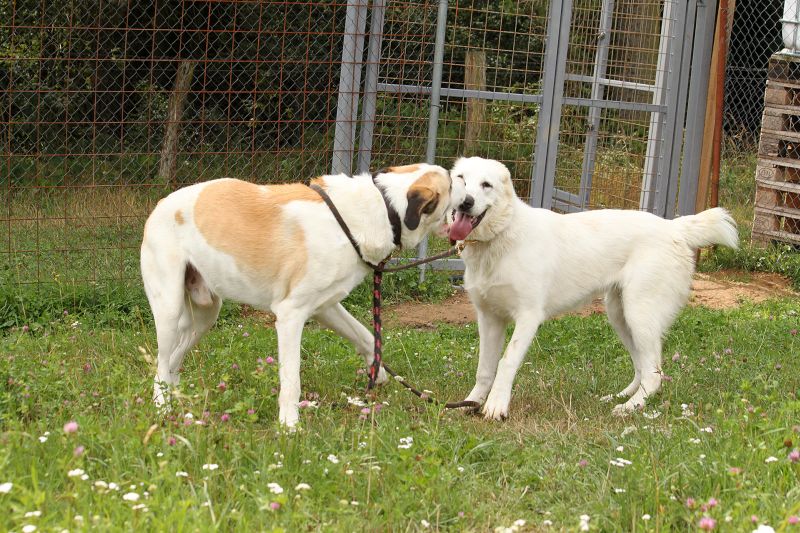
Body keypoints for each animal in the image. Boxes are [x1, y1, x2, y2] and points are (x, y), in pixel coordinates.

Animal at [141, 164, 466, 426]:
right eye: (453, 182)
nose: (467, 183)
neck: (383, 209)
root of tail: (160, 204)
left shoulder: (326, 307)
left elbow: (366, 336)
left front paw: (378, 373)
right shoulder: (290, 315)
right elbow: (291, 379)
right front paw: (289, 425)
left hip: (205, 315)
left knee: (171, 362)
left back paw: (178, 398)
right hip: (169, 311)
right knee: (161, 364)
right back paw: (162, 408)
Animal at [447, 157, 739, 420]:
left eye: (486, 184)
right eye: (461, 179)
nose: (466, 202)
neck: (502, 236)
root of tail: (673, 227)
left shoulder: (528, 317)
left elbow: (506, 362)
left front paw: (496, 407)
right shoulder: (489, 319)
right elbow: (484, 369)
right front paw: (471, 403)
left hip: (639, 315)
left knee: (654, 372)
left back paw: (629, 407)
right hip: (620, 316)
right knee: (641, 367)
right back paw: (620, 397)